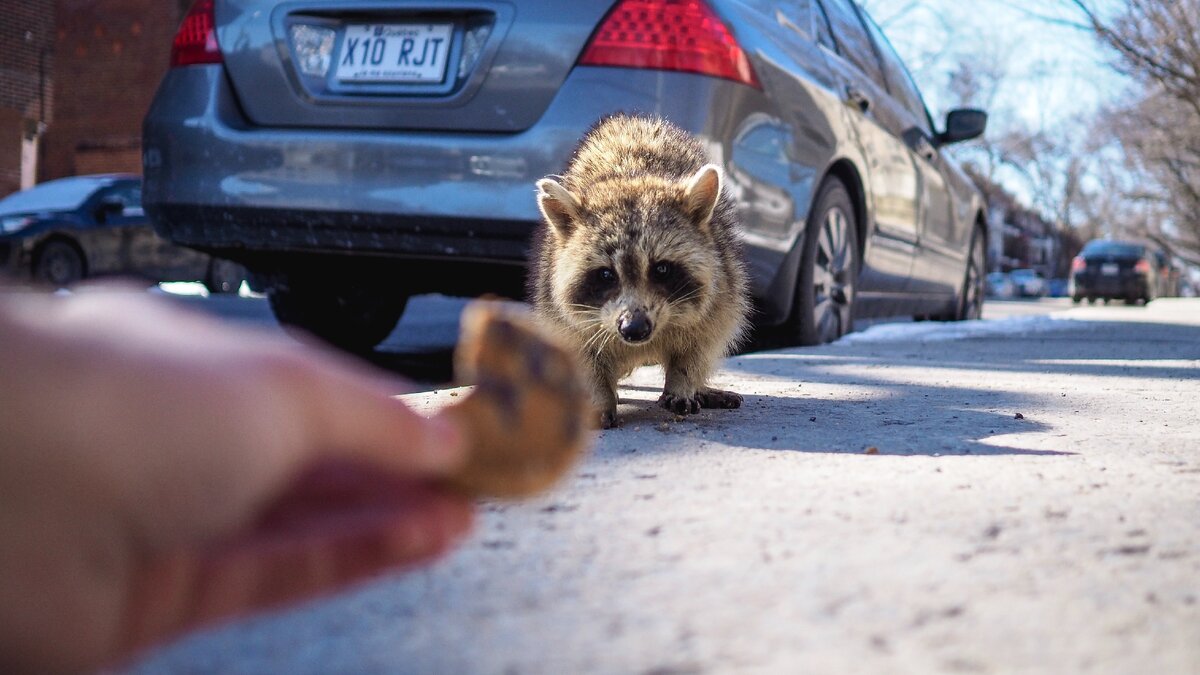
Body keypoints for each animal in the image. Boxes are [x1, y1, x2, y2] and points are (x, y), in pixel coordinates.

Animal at [528, 114, 744, 425]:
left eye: (662, 269)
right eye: (606, 274)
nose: (634, 329)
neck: (631, 175)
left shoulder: (723, 286)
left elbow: (700, 345)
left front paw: (683, 382)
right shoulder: (558, 311)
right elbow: (583, 354)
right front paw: (600, 397)